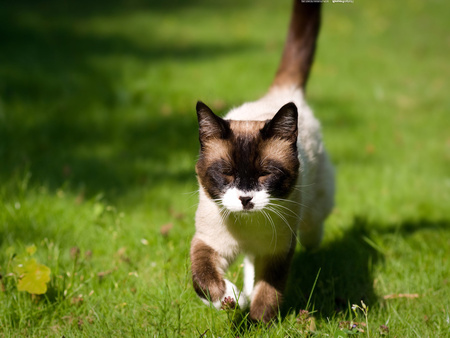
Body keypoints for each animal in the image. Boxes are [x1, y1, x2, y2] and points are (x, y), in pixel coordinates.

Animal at [189, 0, 334, 322]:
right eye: (227, 174)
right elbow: (203, 279)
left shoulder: (277, 252)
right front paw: (230, 299)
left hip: (315, 210)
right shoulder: (208, 243)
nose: (245, 198)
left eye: (265, 174)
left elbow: (267, 293)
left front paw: (256, 322)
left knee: (313, 231)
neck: (247, 227)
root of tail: (283, 93)